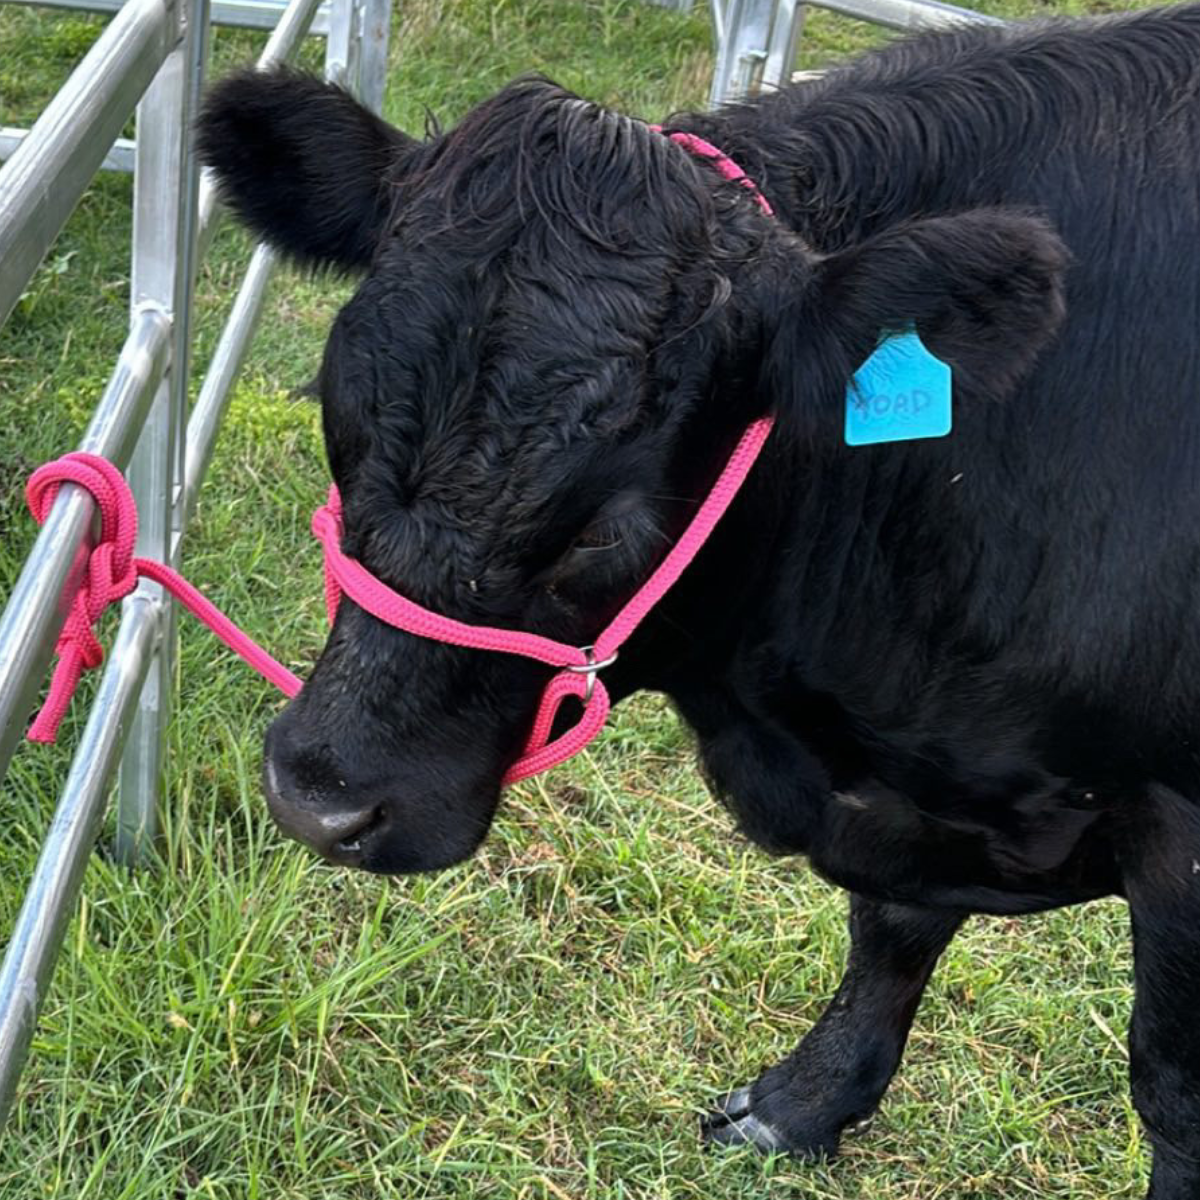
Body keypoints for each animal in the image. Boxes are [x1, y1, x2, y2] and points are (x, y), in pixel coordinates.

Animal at [197, 6, 1200, 1194]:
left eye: (606, 525)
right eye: (336, 418)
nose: (320, 795)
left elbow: (1171, 1088)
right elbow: (892, 932)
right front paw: (802, 1106)